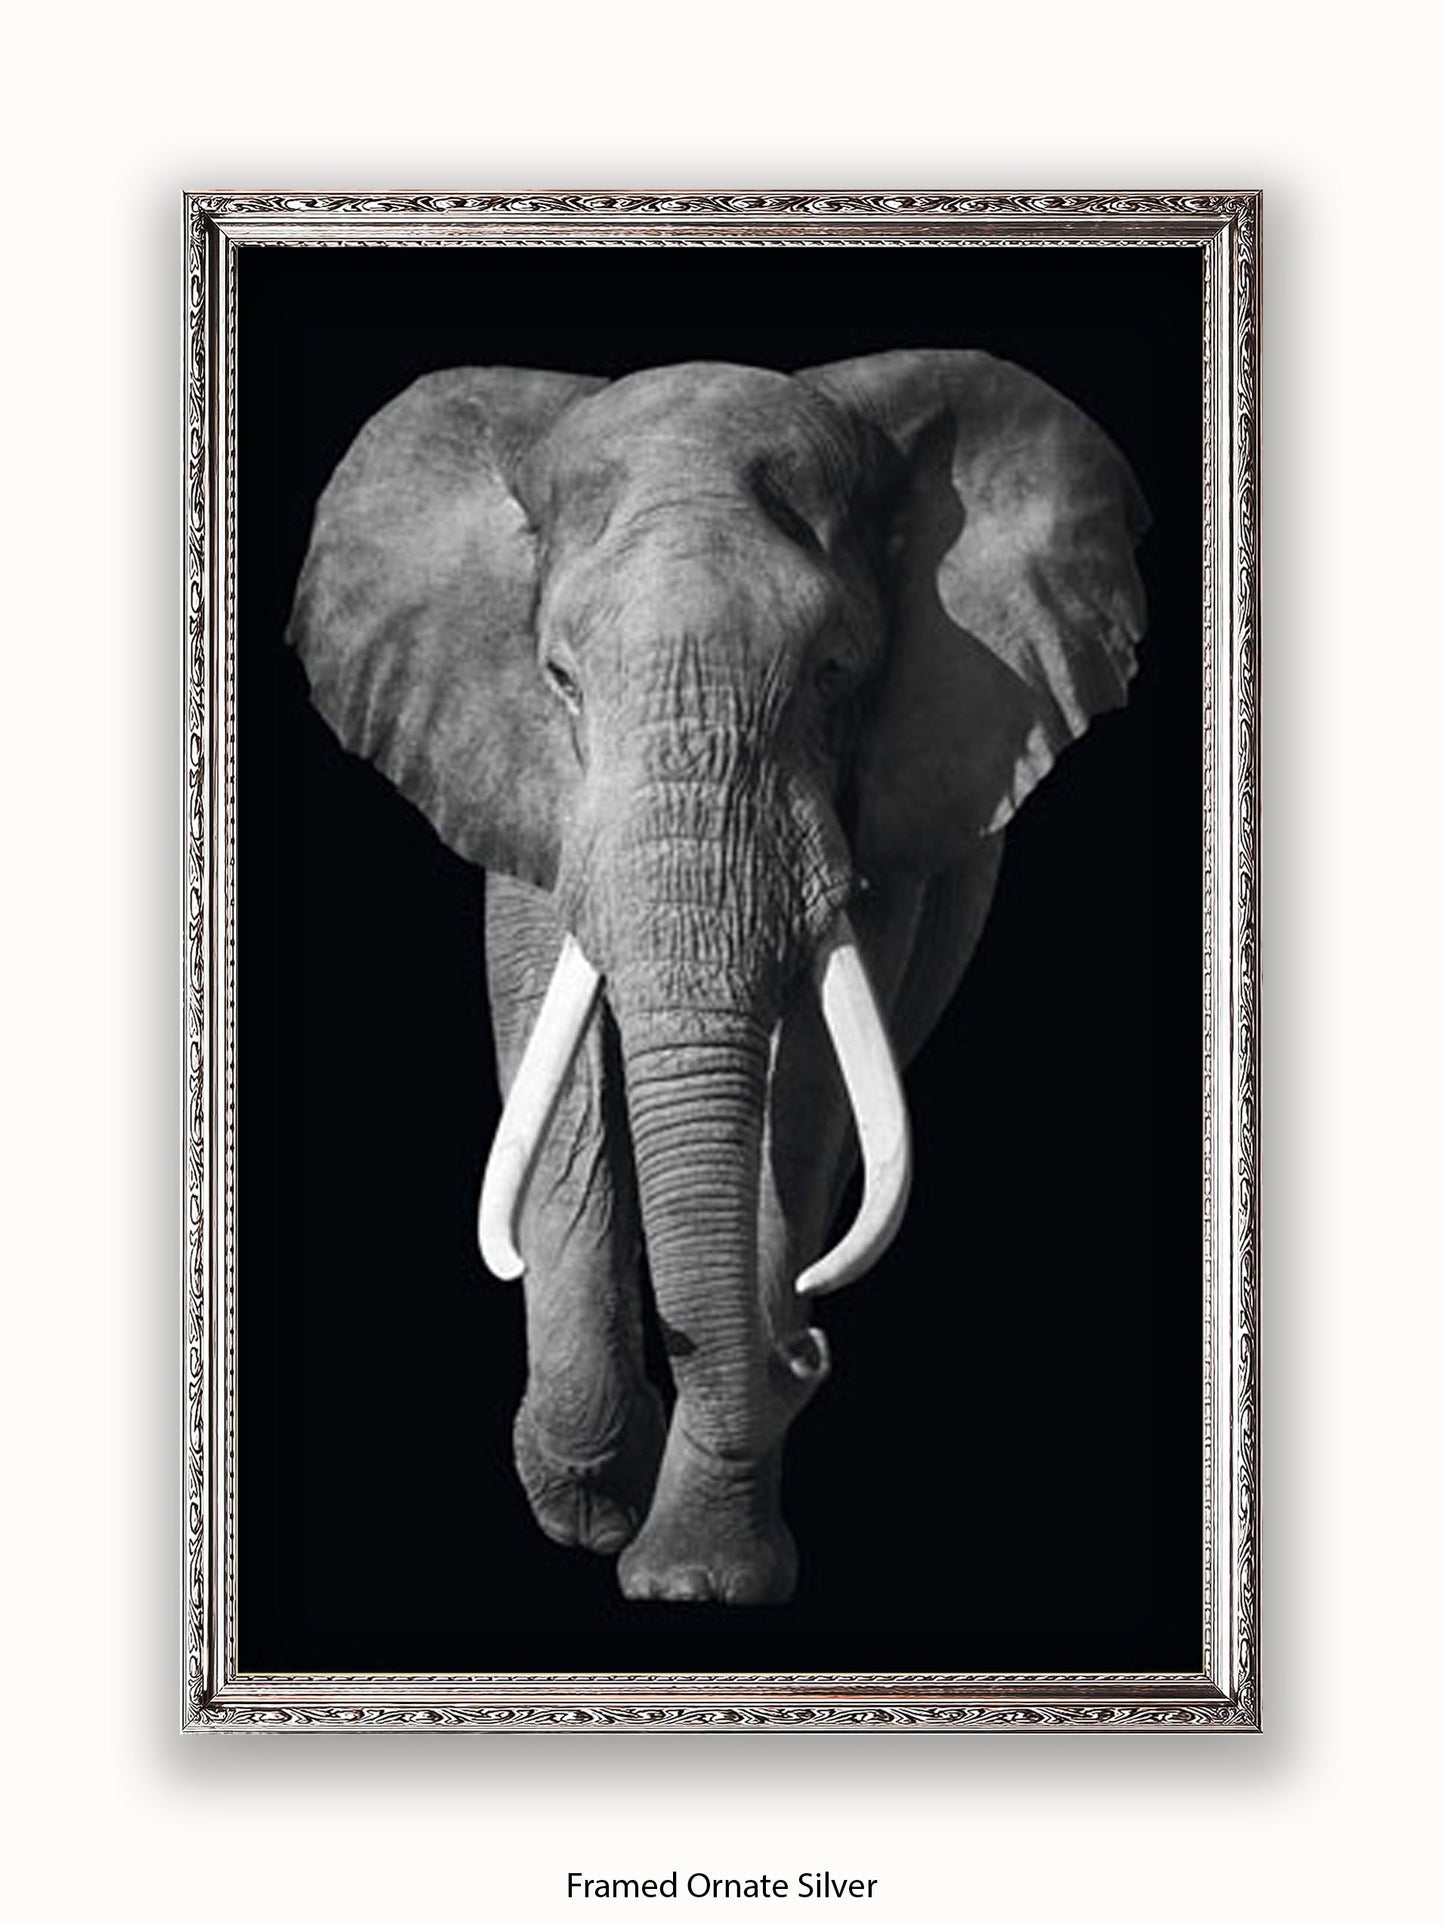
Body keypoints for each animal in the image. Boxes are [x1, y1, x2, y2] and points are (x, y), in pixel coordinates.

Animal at [287, 349, 1148, 1606]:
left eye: (836, 671)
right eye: (559, 678)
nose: (806, 1350)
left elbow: (804, 1090)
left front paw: (695, 1577)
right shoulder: (521, 776)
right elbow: (559, 1063)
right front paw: (591, 1500)